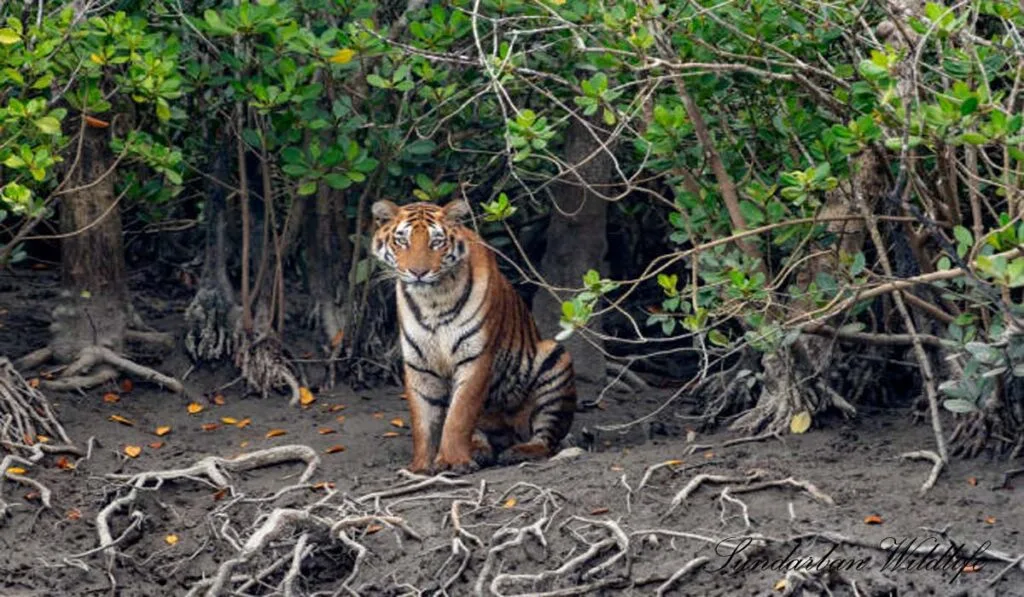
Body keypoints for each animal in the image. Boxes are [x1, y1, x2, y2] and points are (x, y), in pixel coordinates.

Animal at [371, 198, 578, 474]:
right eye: (402, 241)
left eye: (436, 242)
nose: (418, 272)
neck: (432, 300)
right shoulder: (420, 364)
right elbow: (423, 421)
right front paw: (420, 467)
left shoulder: (475, 357)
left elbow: (459, 415)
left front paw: (453, 461)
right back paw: (480, 449)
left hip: (555, 357)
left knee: (545, 439)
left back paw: (517, 452)